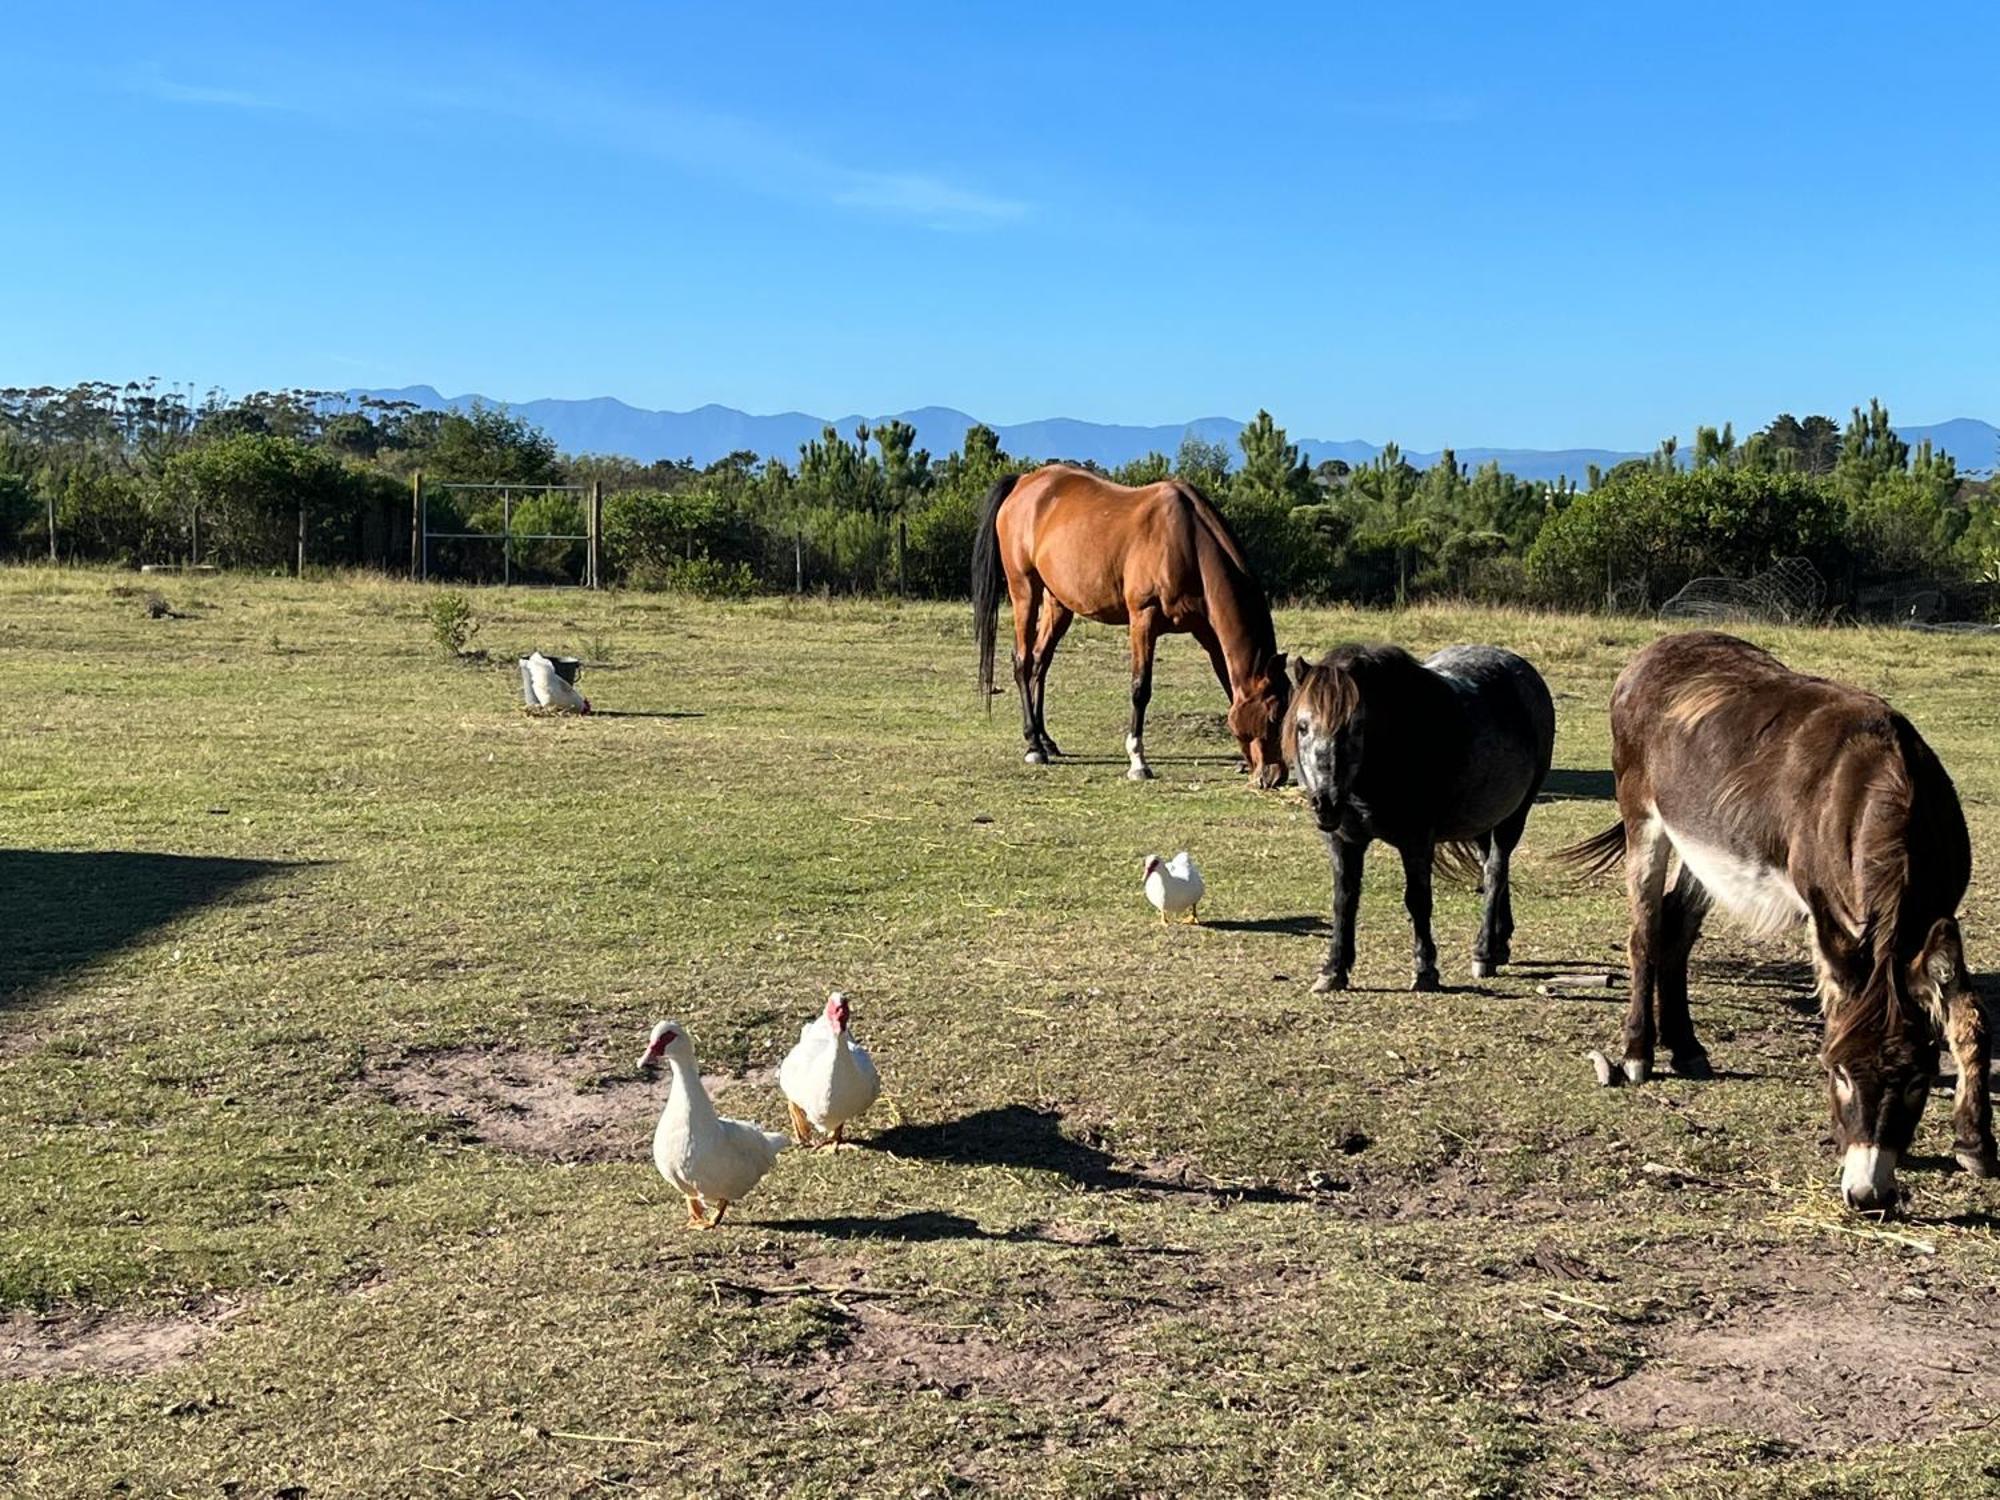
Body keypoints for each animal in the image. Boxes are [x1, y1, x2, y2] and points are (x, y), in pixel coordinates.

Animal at [972, 468, 1288, 788]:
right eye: (1274, 716)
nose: (1276, 776)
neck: (1186, 540)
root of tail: (1023, 482)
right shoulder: (1143, 619)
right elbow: (1140, 688)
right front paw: (1138, 761)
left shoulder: (1208, 632)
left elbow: (1228, 683)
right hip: (1024, 590)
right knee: (1023, 661)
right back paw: (1033, 745)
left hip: (1057, 603)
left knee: (1040, 661)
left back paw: (1046, 740)